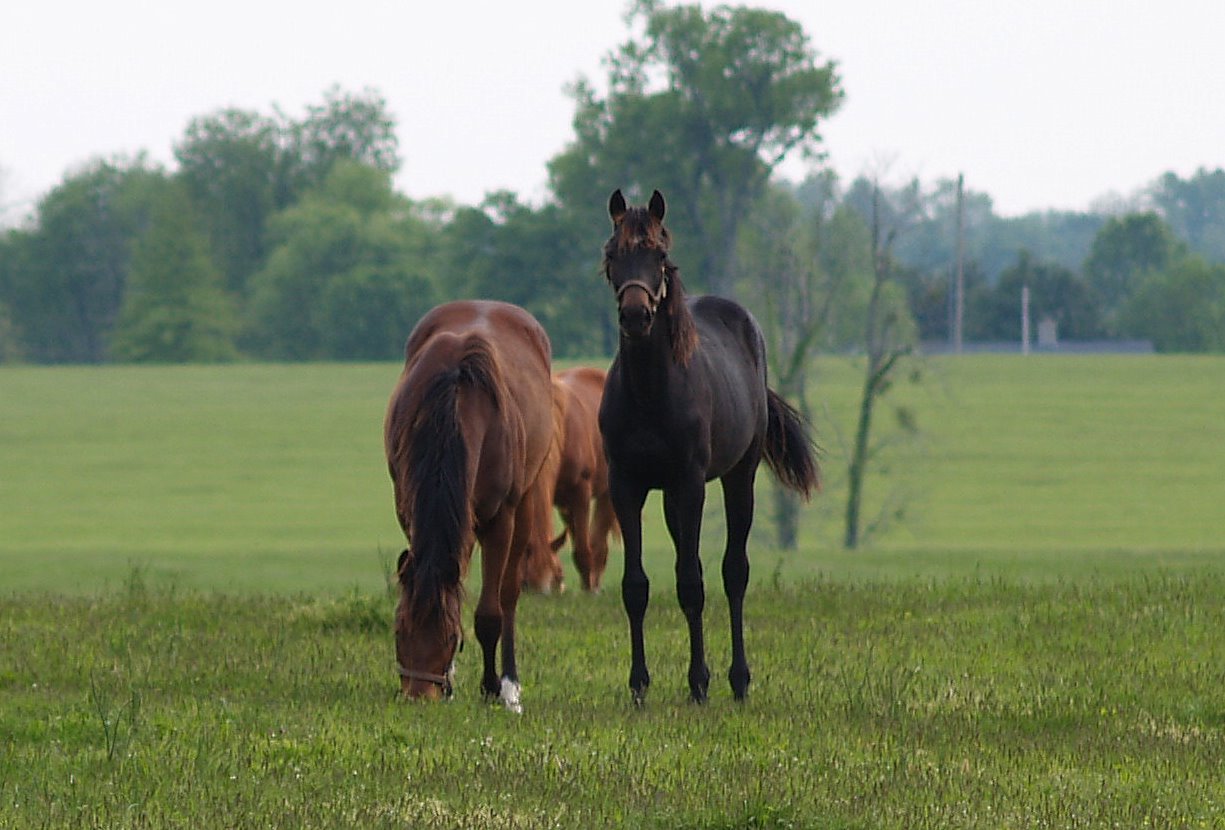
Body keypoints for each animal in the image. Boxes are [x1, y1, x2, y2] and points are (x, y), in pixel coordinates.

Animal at [384, 300, 554, 712]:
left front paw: (492, 687)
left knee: (508, 595)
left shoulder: (500, 518)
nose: (419, 695)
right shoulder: (408, 507)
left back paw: (509, 686)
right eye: (399, 629)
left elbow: (490, 613)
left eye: (450, 636)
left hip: (525, 502)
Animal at [519, 367, 620, 594]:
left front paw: (587, 590)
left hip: (605, 494)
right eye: (526, 584)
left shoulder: (580, 492)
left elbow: (583, 549)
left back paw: (594, 584)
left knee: (598, 542)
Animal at [598, 189, 820, 705]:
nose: (635, 315)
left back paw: (738, 681)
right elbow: (636, 586)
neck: (651, 392)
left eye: (659, 255)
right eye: (612, 254)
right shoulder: (626, 486)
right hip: (670, 500)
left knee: (733, 572)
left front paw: (699, 682)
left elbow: (692, 584)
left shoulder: (691, 483)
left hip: (738, 479)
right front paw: (639, 685)